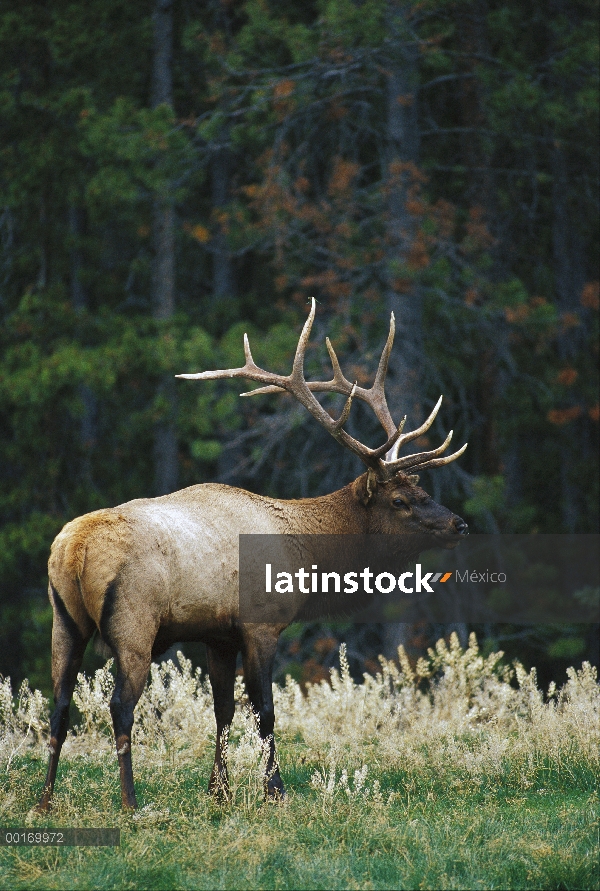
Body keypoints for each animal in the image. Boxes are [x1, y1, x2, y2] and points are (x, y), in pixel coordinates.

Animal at [37, 298, 468, 808]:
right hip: (133, 621)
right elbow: (264, 710)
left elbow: (222, 710)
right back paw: (130, 801)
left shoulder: (217, 634)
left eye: (421, 489)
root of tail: (74, 549)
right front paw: (274, 790)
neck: (303, 555)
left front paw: (218, 791)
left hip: (64, 621)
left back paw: (45, 800)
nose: (458, 524)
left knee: (59, 706)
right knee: (120, 707)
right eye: (400, 500)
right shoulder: (261, 624)